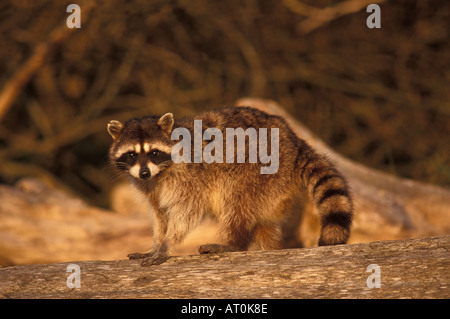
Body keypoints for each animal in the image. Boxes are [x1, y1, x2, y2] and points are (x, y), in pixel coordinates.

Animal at [107, 106, 354, 266]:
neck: (159, 173)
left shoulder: (190, 176)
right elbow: (160, 216)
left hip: (259, 169)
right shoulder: (150, 188)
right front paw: (156, 243)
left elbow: (187, 212)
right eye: (132, 155)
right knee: (263, 224)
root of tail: (295, 142)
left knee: (235, 202)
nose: (144, 172)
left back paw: (235, 243)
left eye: (154, 153)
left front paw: (166, 244)